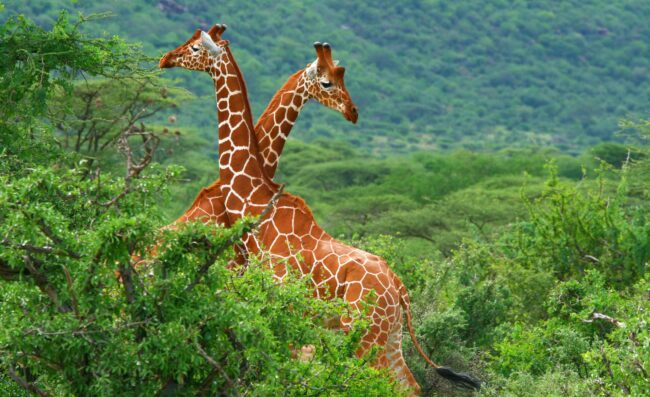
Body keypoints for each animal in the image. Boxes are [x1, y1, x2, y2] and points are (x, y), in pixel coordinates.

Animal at [159, 27, 478, 392]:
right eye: (329, 81)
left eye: (196, 47)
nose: (165, 58)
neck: (256, 204)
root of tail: (400, 290)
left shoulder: (278, 306)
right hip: (389, 334)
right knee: (408, 386)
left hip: (364, 331)